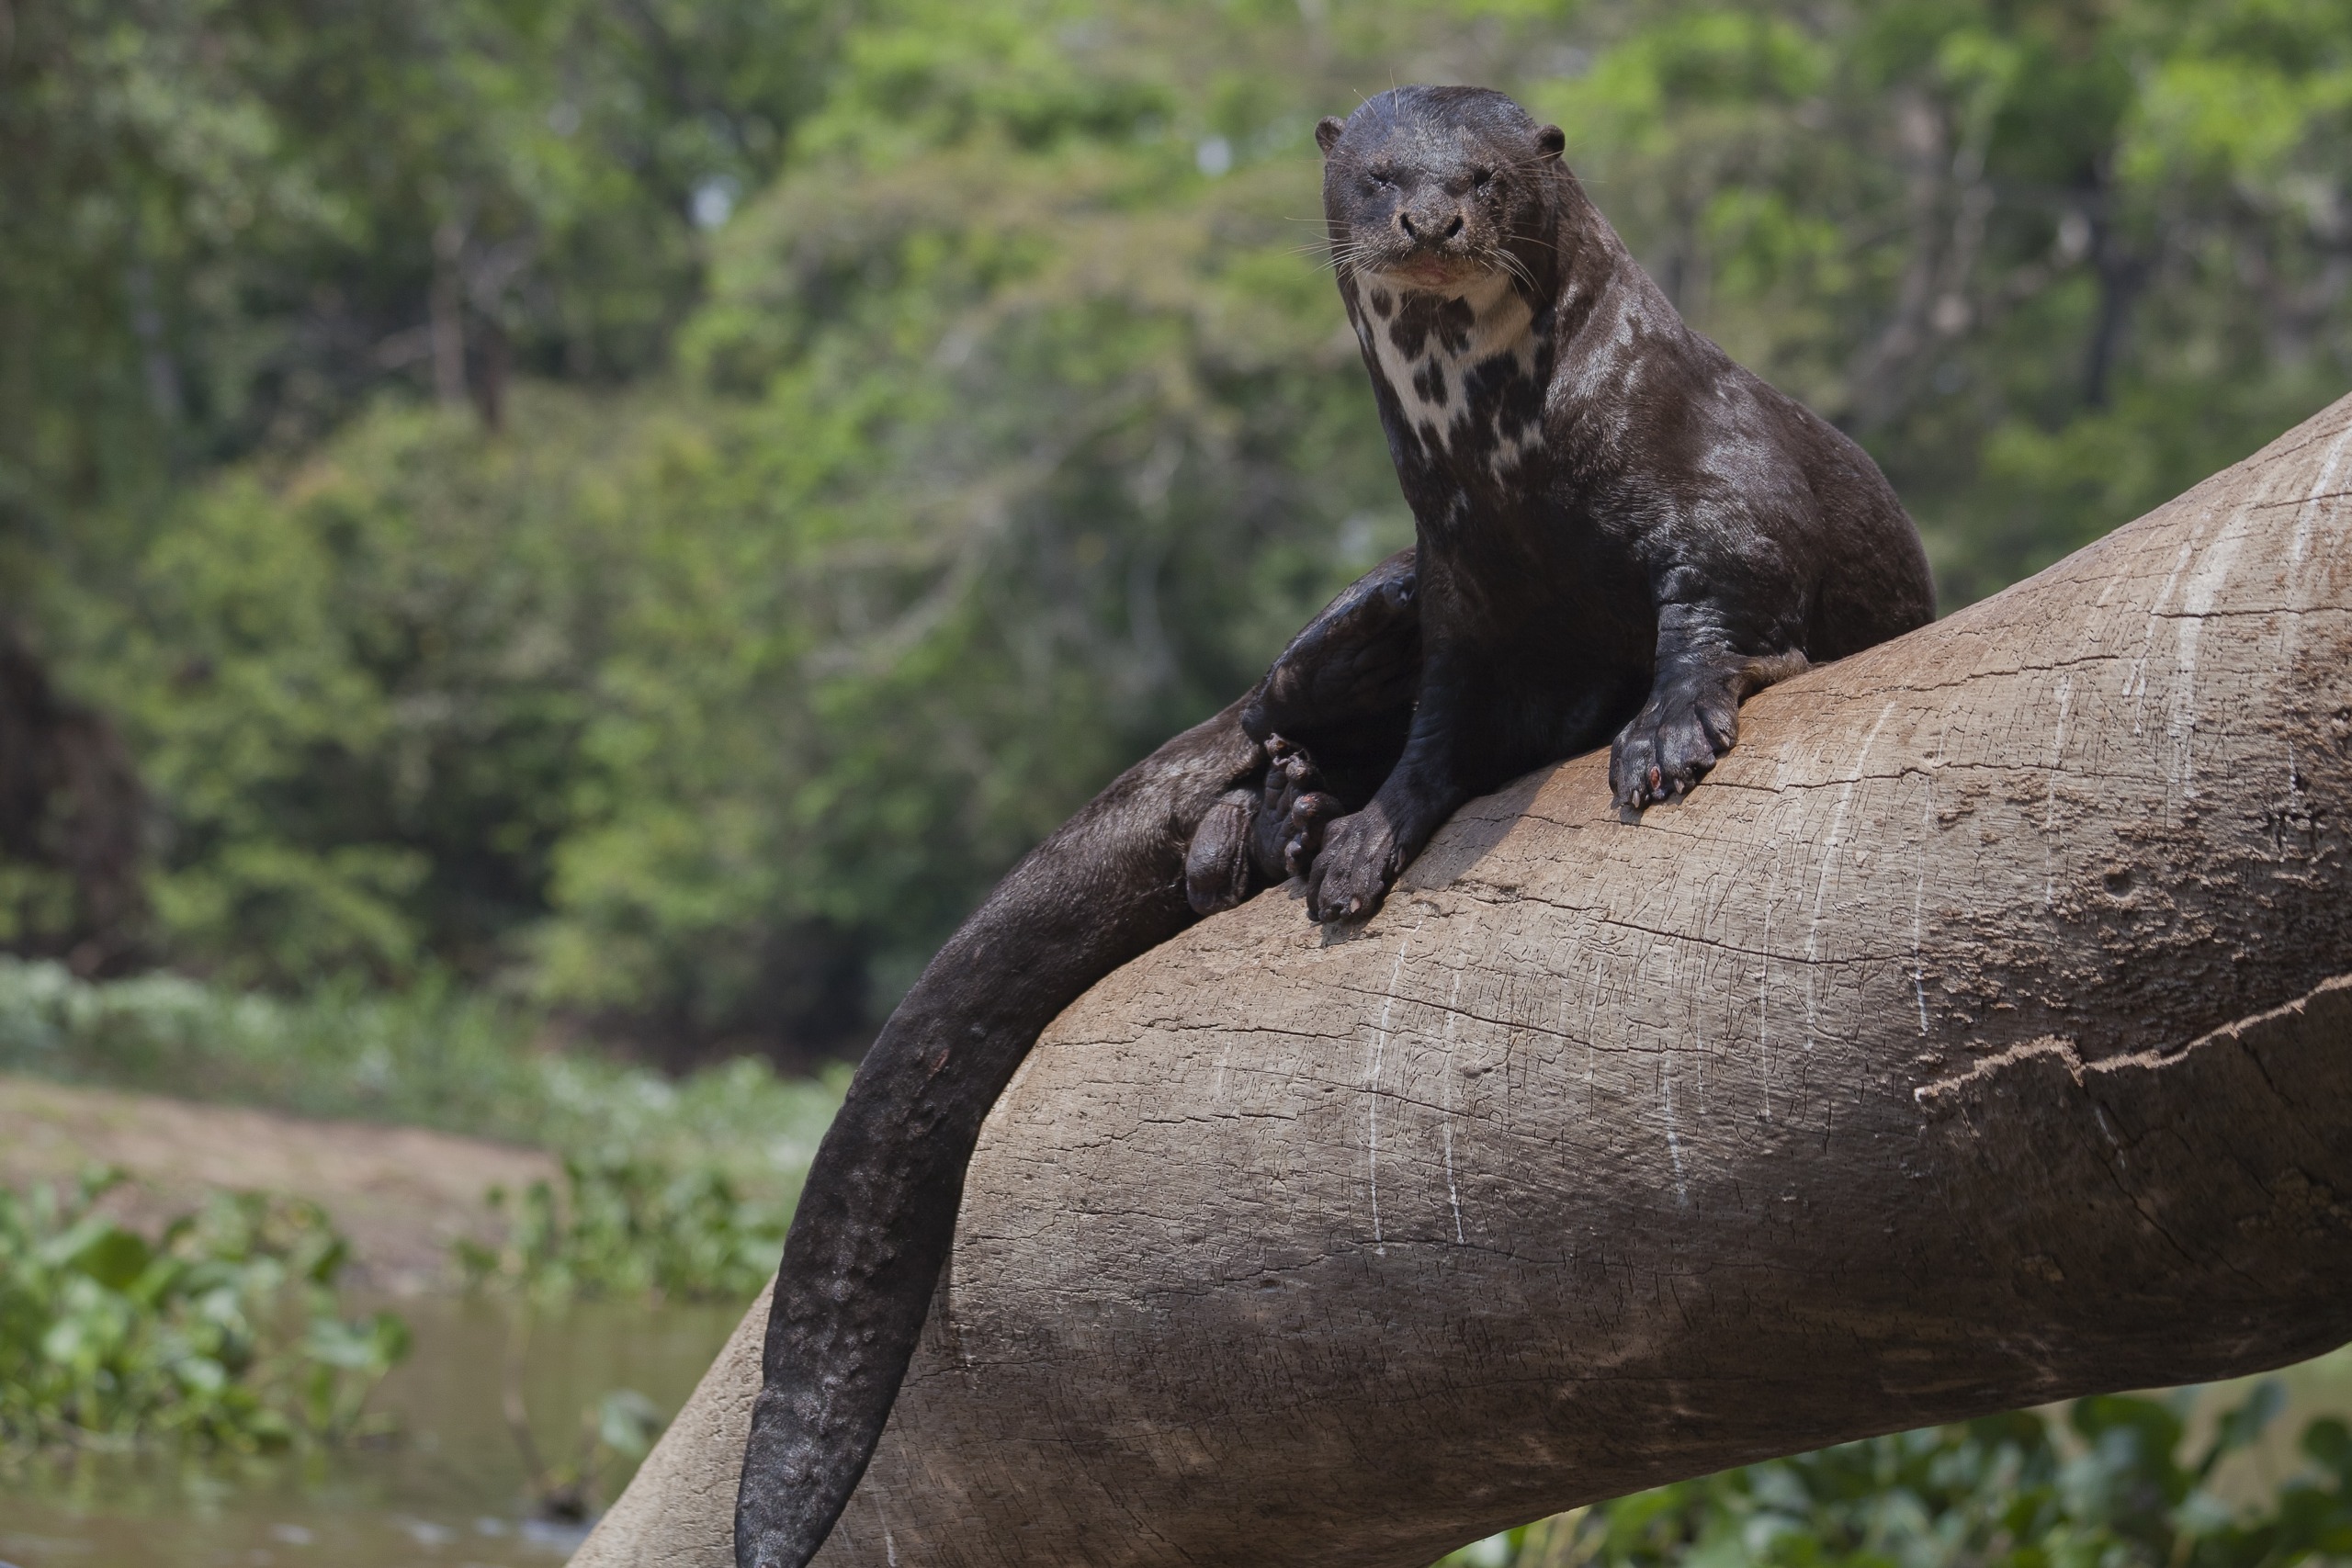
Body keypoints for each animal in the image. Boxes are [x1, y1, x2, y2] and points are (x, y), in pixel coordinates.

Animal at [1307, 85, 1928, 921]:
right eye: (1378, 175)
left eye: (1485, 176)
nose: (1432, 220)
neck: (1515, 472)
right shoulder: (1459, 585)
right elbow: (1442, 715)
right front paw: (1363, 833)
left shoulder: (1729, 495)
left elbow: (1726, 594)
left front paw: (1666, 731)